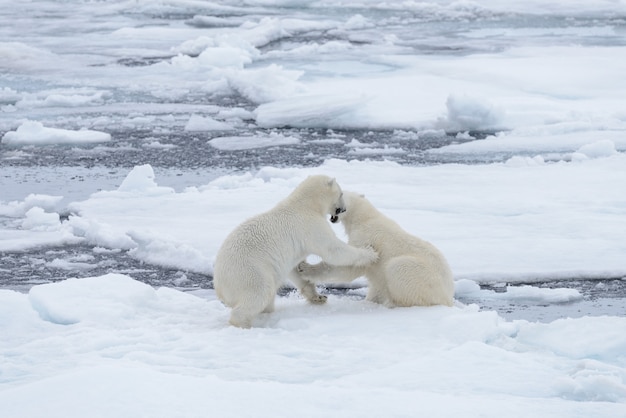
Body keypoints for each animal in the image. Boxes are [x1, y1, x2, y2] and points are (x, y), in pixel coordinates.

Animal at [212, 175, 378, 328]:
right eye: (341, 193)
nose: (344, 209)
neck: (304, 204)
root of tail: (220, 287)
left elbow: (295, 269)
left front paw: (318, 297)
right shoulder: (310, 225)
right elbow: (333, 250)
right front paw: (370, 253)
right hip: (249, 272)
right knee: (259, 293)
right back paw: (244, 324)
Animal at [294, 190, 450, 306]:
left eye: (341, 194)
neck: (363, 218)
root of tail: (447, 296)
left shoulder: (366, 238)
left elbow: (351, 265)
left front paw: (305, 268)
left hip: (422, 276)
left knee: (396, 268)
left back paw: (393, 302)